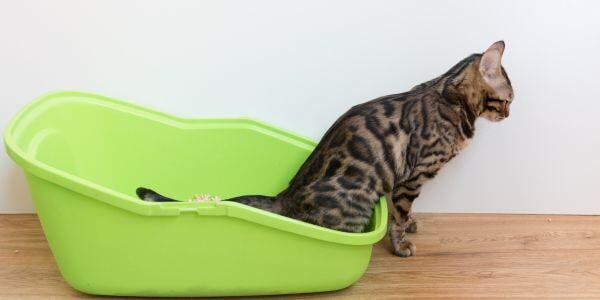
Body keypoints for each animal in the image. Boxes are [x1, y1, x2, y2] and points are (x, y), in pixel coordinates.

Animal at [136, 41, 510, 258]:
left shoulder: (401, 179)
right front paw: (401, 243)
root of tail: (286, 195)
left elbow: (400, 211)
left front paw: (411, 225)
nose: (509, 114)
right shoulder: (413, 176)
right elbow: (400, 214)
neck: (449, 92)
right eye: (508, 99)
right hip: (356, 204)